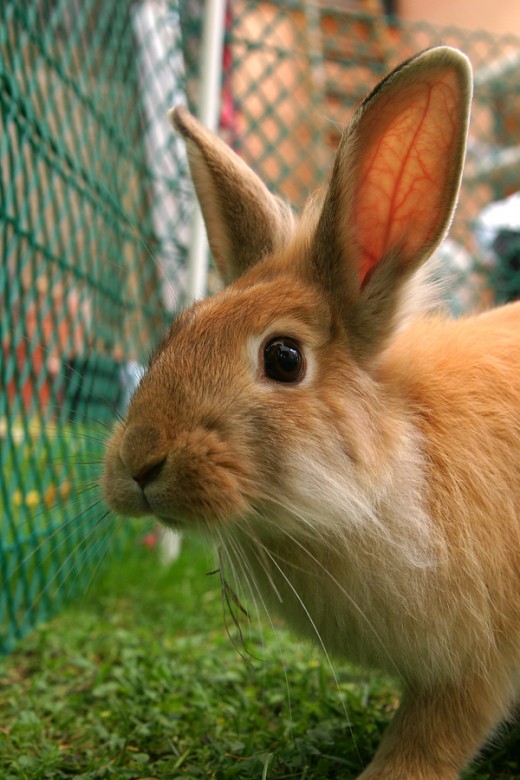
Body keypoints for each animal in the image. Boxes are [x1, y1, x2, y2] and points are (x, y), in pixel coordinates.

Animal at [102, 46, 520, 779]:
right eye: (179, 327)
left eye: (284, 358)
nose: (139, 461)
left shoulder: (475, 667)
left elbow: (429, 742)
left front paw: (387, 772)